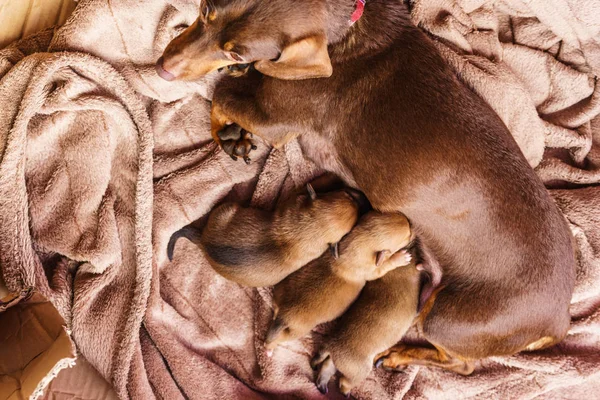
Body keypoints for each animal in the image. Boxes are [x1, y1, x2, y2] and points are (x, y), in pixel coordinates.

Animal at [266, 211, 412, 354]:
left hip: (278, 296)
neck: (357, 242)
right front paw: (400, 258)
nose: (410, 223)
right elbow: (386, 266)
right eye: (407, 236)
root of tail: (283, 315)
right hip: (297, 331)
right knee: (277, 340)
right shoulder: (374, 271)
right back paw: (270, 349)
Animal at [312, 260, 420, 396]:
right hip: (359, 371)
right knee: (344, 382)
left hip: (337, 362)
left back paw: (322, 385)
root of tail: (330, 347)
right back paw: (345, 392)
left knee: (326, 367)